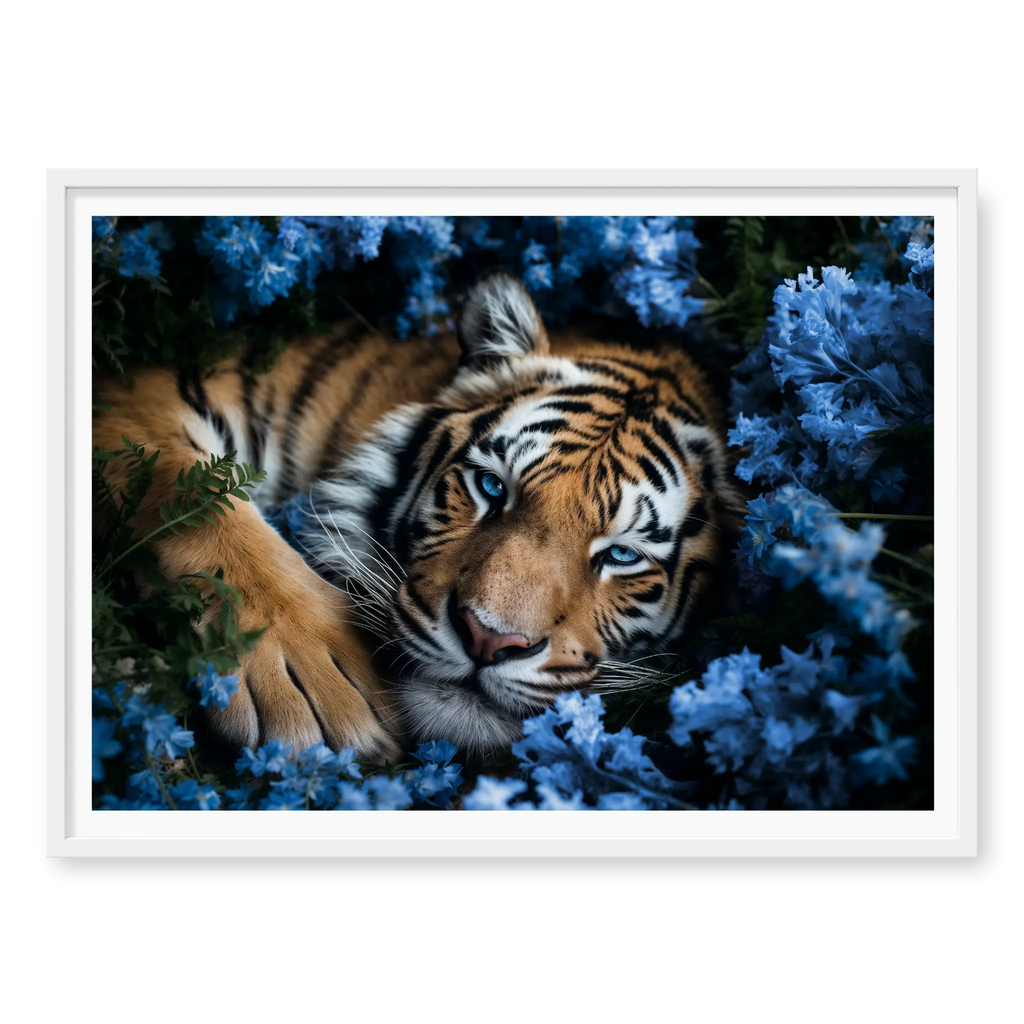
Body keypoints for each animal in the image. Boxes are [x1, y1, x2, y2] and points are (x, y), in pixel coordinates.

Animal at [94, 271, 740, 762]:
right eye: (491, 487)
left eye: (622, 555)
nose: (489, 640)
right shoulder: (149, 391)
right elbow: (197, 500)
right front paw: (308, 678)